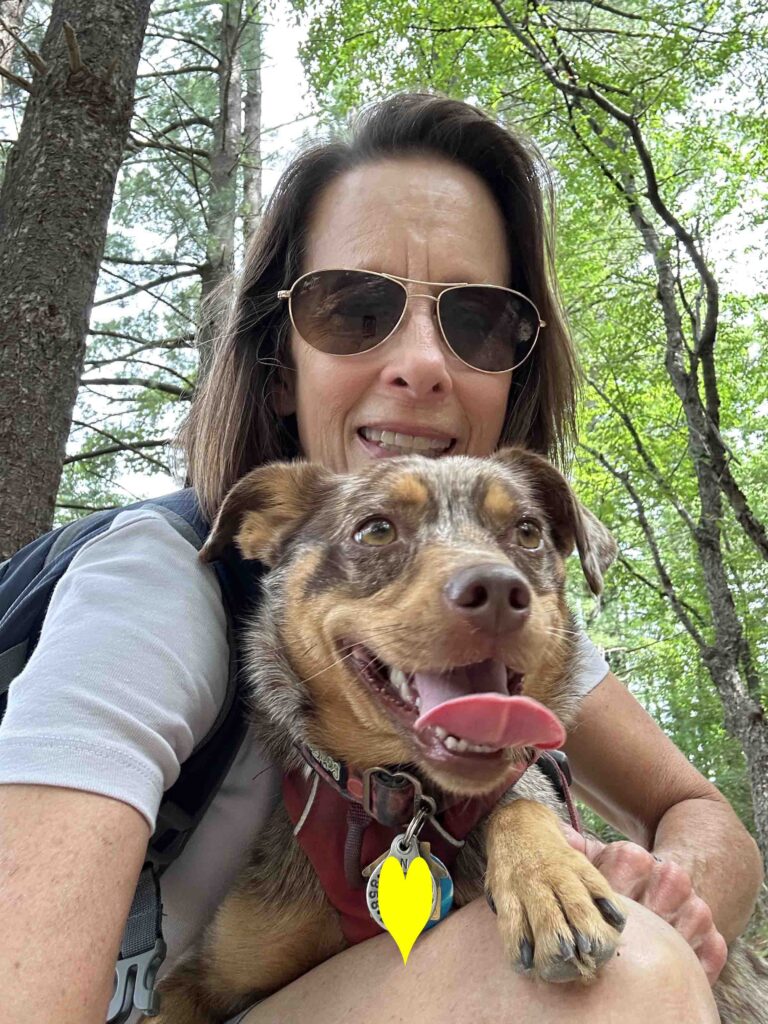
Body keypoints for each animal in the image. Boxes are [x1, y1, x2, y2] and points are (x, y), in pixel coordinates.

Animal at [148, 448, 768, 1024]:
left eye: (528, 532)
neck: (400, 805)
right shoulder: (199, 976)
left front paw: (550, 880)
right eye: (376, 528)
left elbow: (518, 802)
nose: (498, 592)